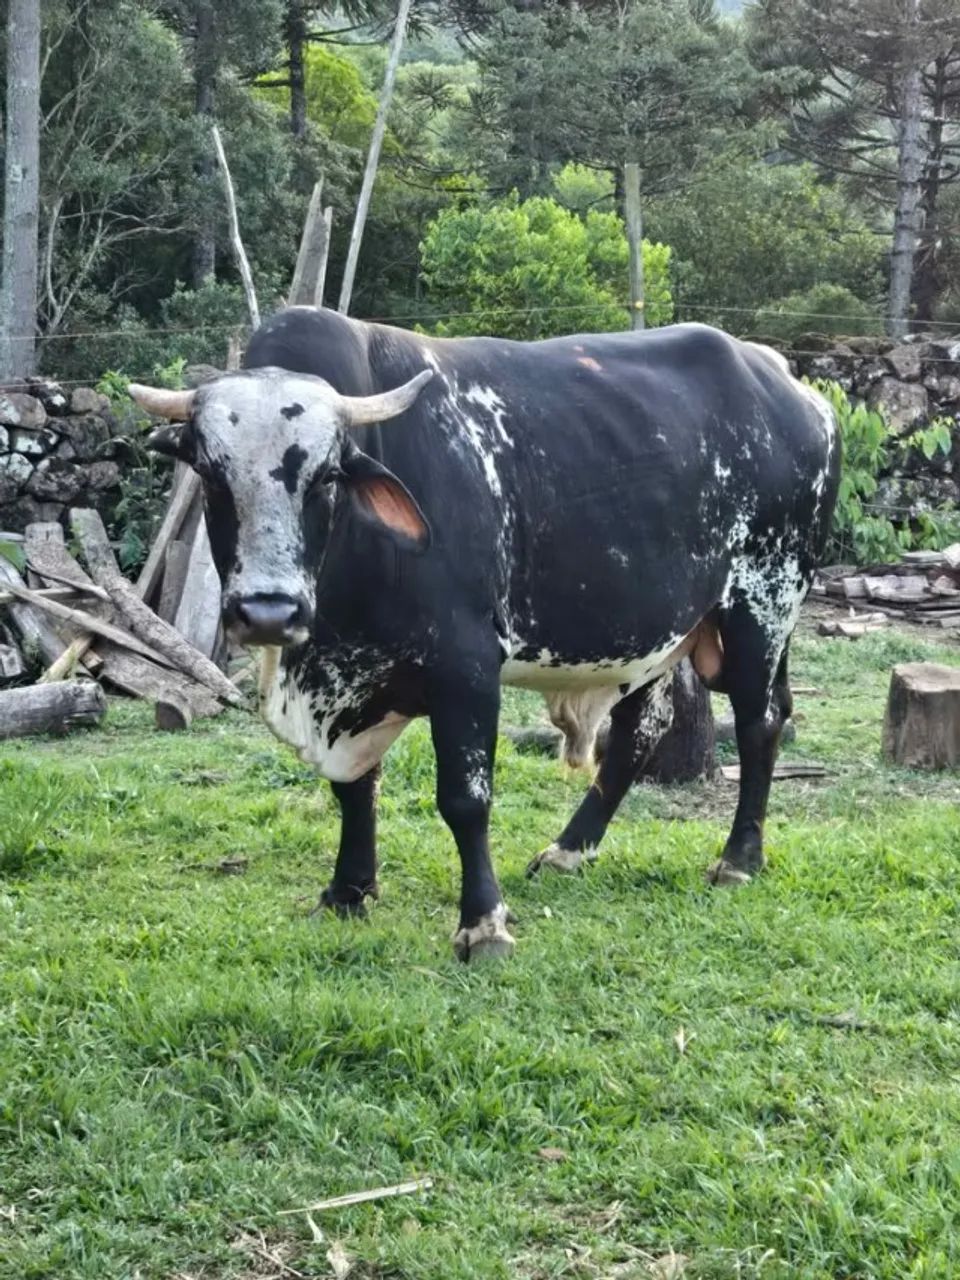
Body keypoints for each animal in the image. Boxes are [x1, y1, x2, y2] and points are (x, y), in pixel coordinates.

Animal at [130, 307, 839, 961]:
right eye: (210, 472)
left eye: (328, 475)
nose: (269, 612)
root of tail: (791, 384)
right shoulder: (353, 679)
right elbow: (353, 788)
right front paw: (347, 891)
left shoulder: (465, 666)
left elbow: (465, 800)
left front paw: (483, 923)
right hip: (658, 636)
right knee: (641, 731)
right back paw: (569, 850)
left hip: (763, 605)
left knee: (760, 721)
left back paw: (739, 858)